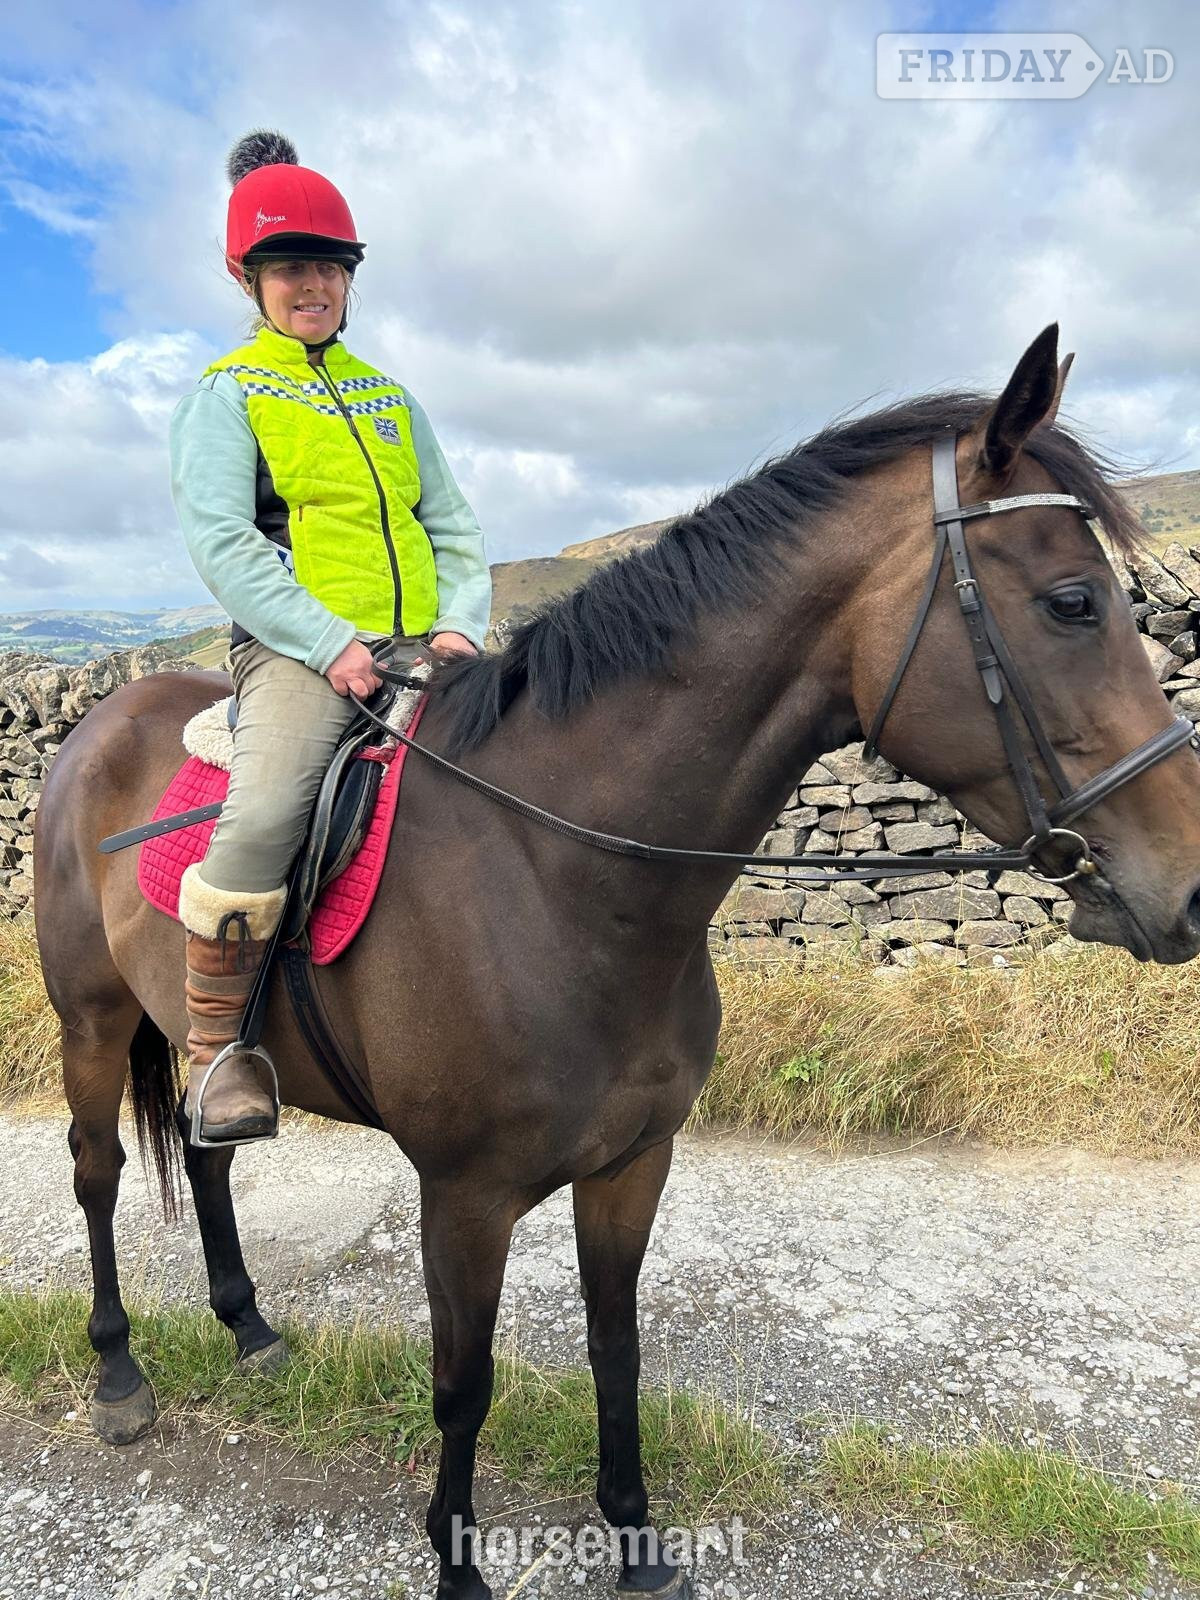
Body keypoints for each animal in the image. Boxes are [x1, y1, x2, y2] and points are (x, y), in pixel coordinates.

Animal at [34, 324, 1200, 1600]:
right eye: (1074, 601)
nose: (1191, 885)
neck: (562, 875)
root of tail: (98, 724)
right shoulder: (464, 1197)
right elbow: (464, 1385)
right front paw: (459, 1565)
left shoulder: (635, 1163)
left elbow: (616, 1344)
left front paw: (636, 1539)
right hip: (92, 1022)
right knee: (98, 1173)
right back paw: (119, 1376)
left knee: (207, 1157)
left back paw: (247, 1325)